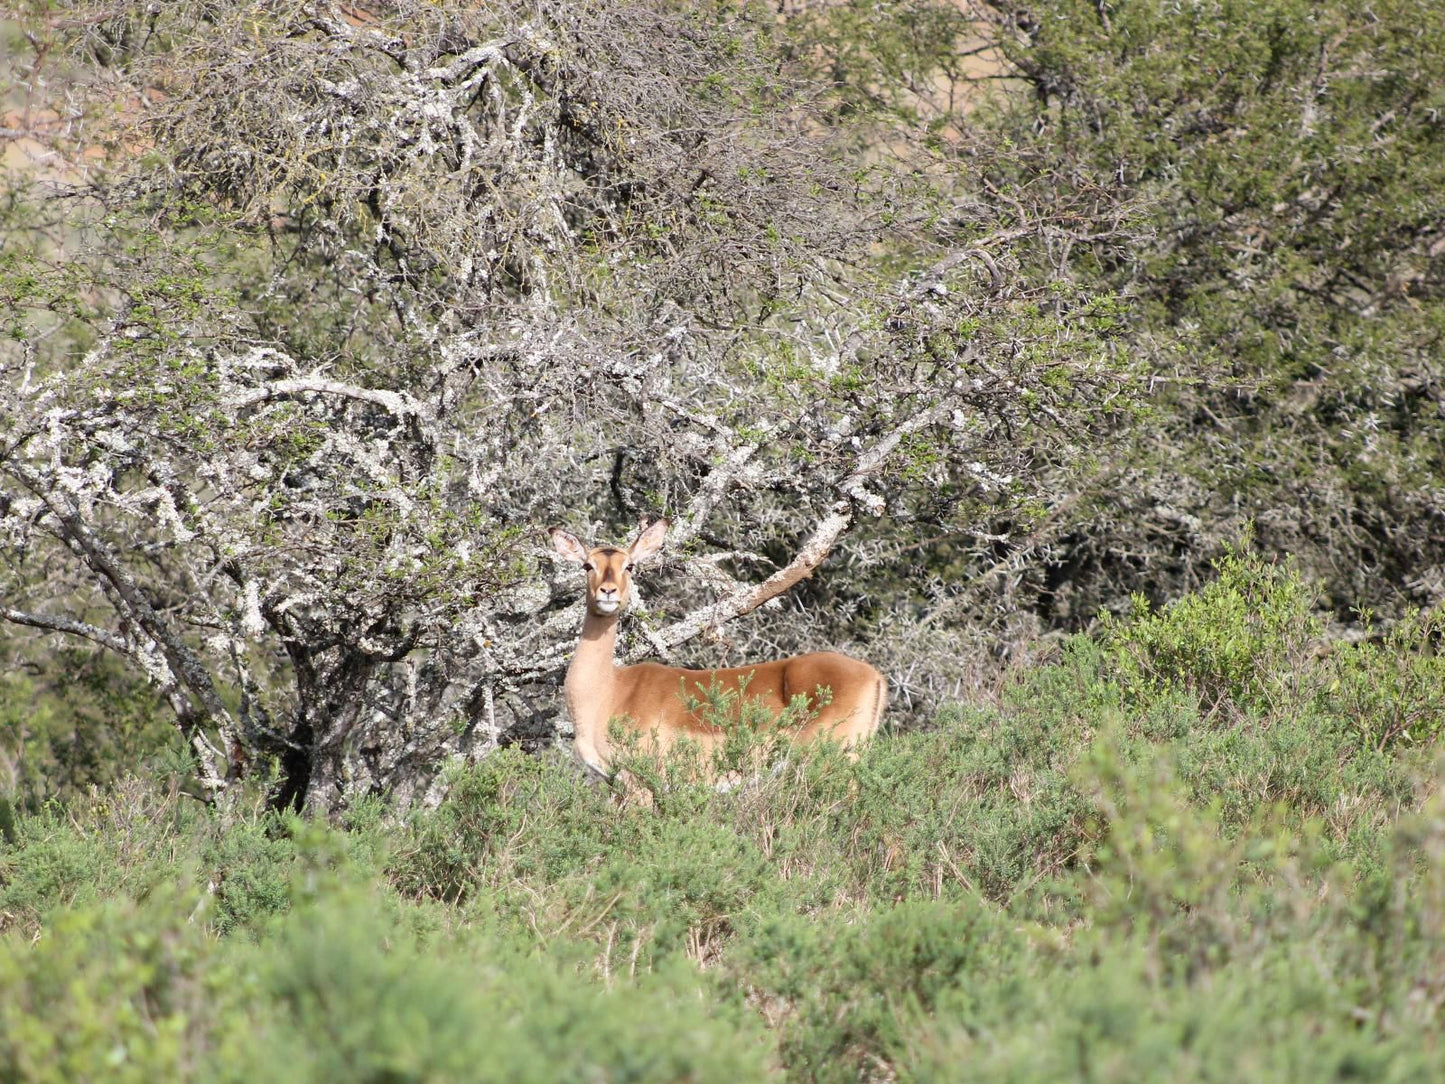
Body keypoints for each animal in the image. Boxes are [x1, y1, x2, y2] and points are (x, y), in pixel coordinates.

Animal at [546, 520, 884, 792]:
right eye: (587, 565)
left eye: (629, 565)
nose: (607, 591)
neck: (608, 691)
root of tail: (875, 676)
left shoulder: (638, 785)